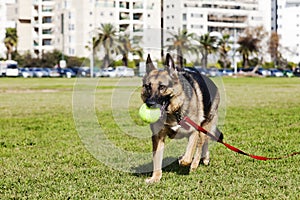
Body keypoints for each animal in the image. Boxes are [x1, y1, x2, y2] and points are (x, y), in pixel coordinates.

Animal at [141, 54, 223, 184]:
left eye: (162, 87)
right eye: (148, 87)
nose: (150, 104)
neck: (174, 112)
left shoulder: (194, 131)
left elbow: (189, 156)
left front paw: (184, 160)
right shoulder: (158, 137)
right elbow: (157, 159)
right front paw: (155, 177)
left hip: (204, 126)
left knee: (200, 145)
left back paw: (195, 164)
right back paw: (205, 158)